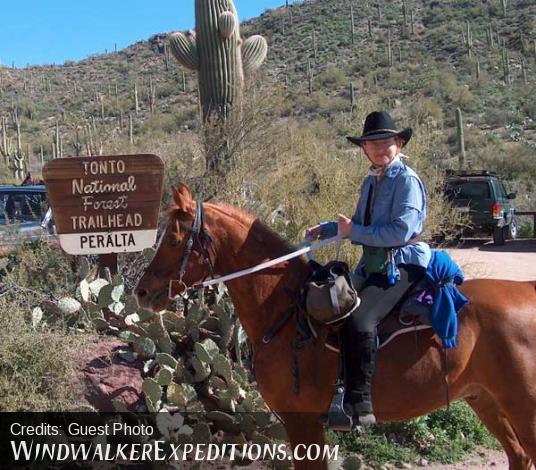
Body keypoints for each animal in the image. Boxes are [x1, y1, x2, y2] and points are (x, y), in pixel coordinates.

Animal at [136, 185, 536, 470]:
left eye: (173, 240)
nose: (142, 291)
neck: (286, 314)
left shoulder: (302, 423)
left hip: (521, 405)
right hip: (486, 399)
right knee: (519, 457)